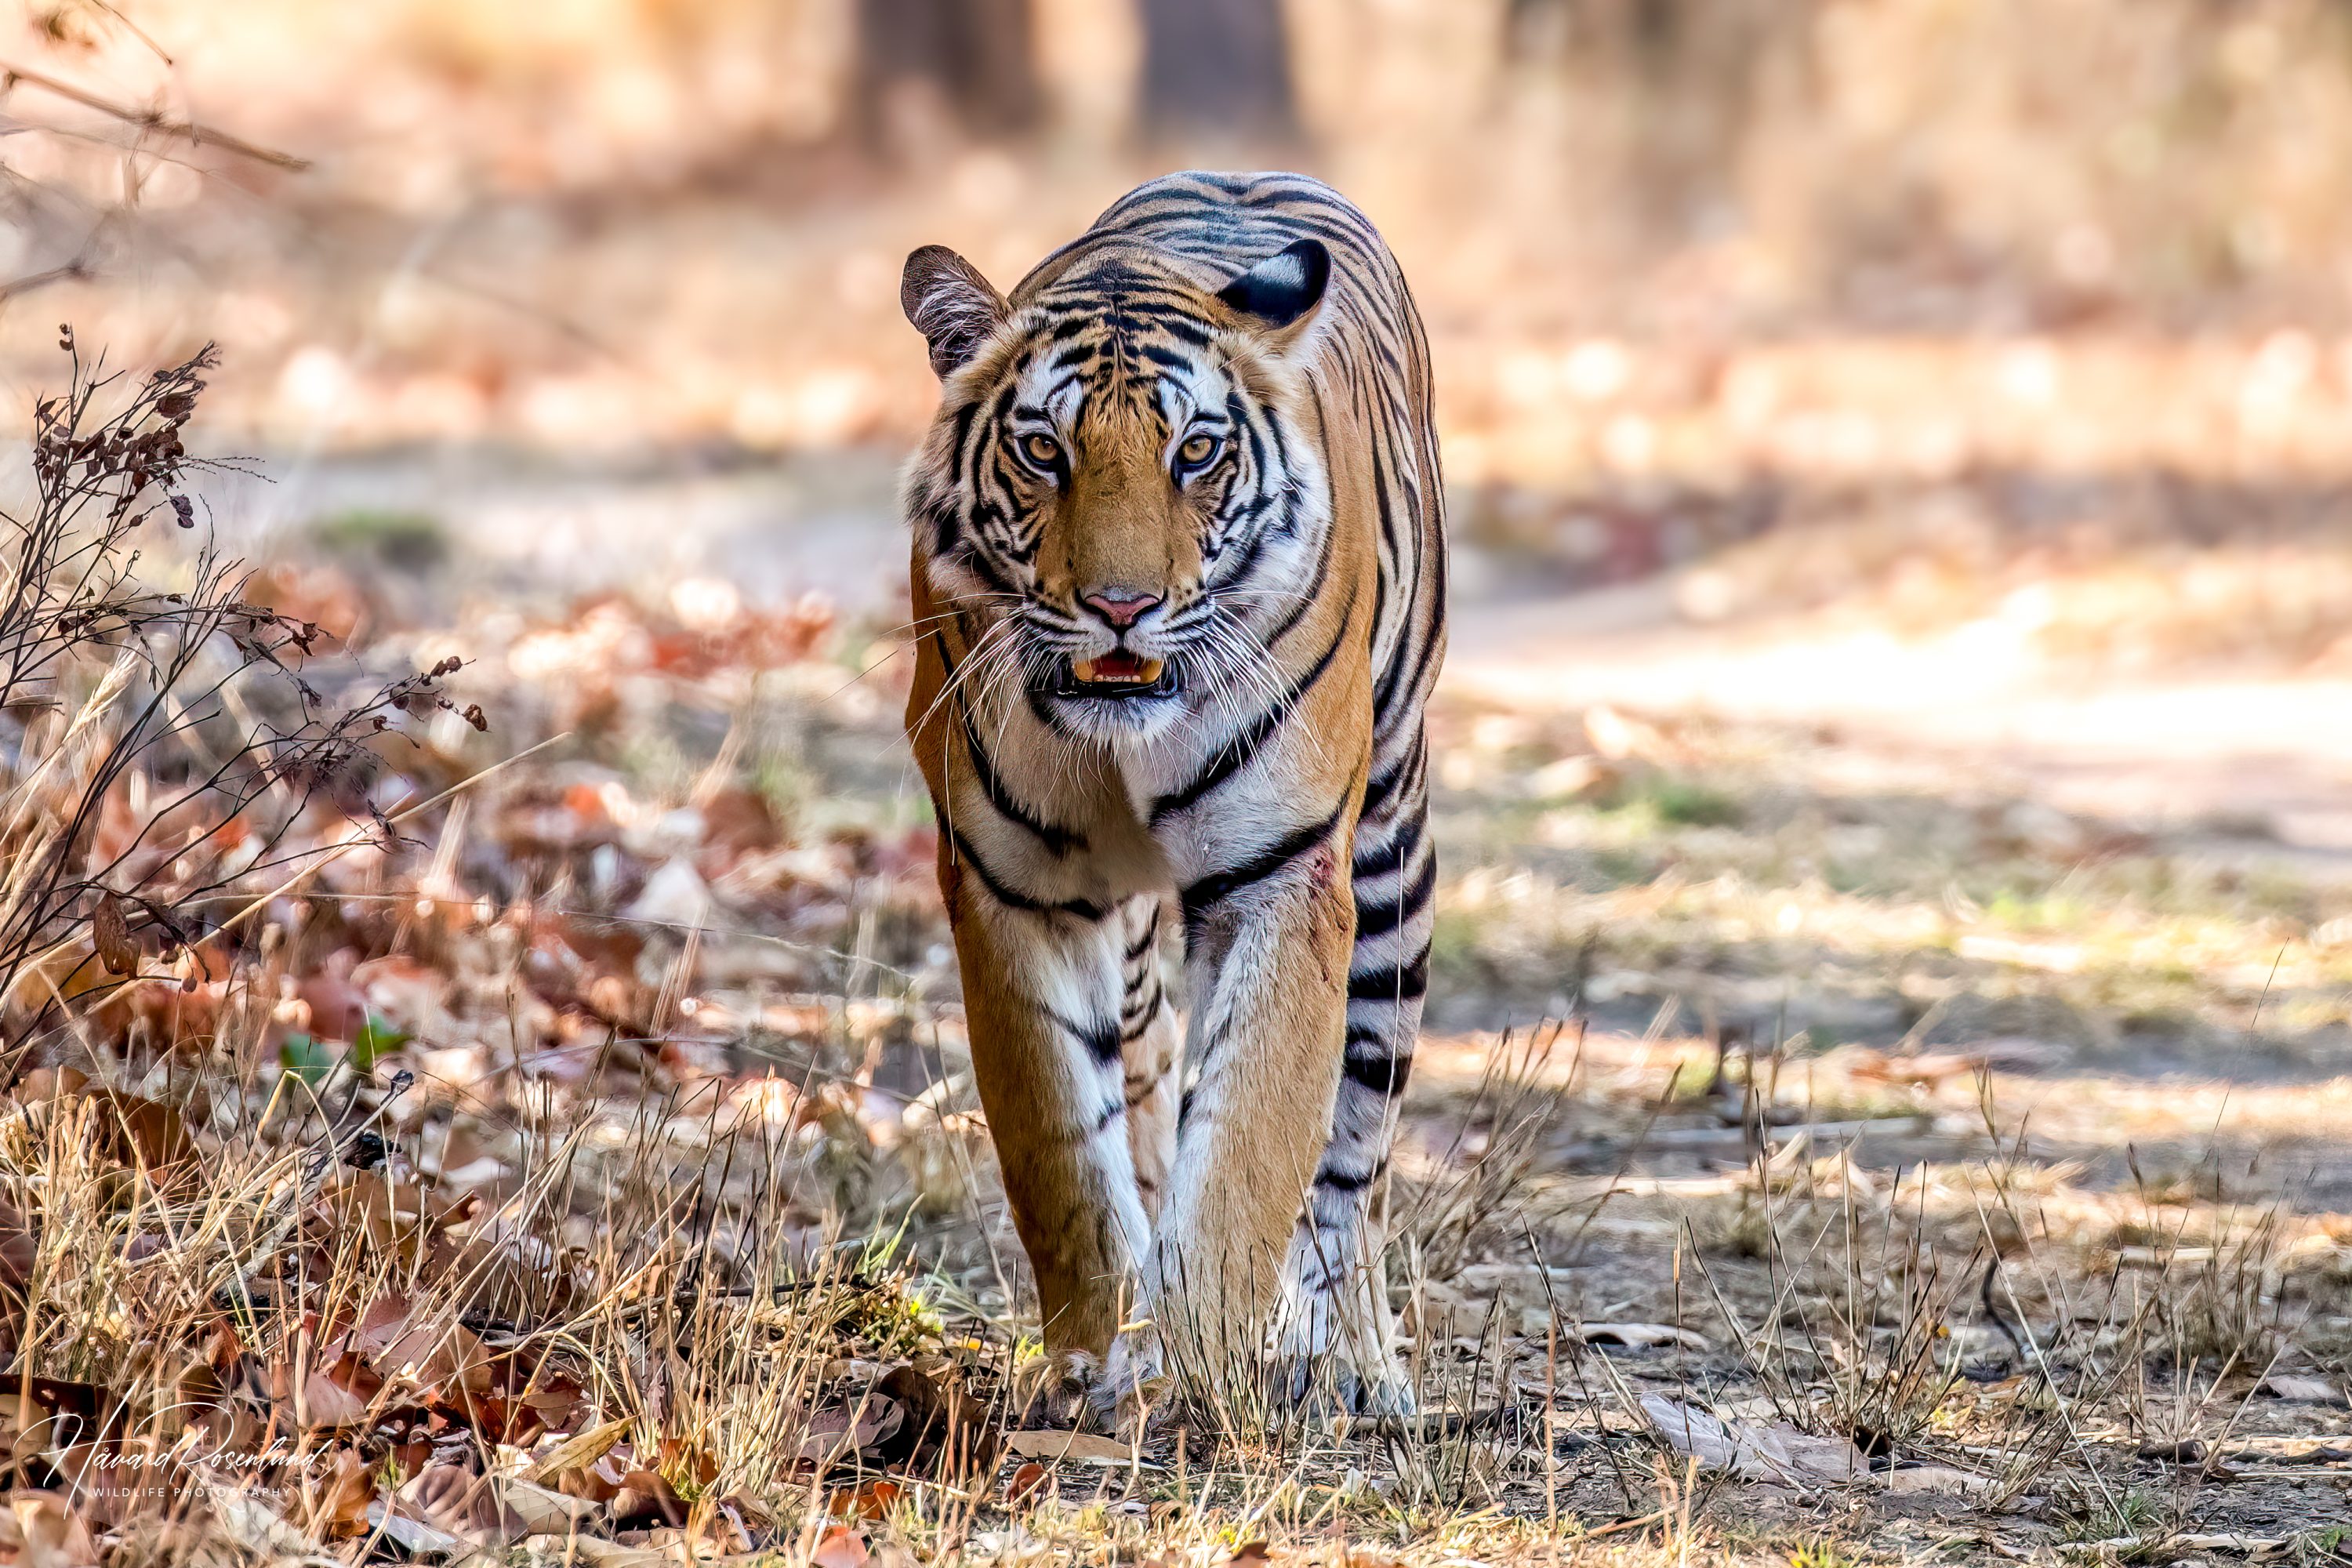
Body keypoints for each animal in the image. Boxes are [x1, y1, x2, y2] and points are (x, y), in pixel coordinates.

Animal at [898, 170, 1445, 1415]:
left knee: (1356, 1151)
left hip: (1392, 858)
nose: (1121, 607)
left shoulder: (1285, 878)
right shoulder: (1013, 888)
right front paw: (1093, 1365)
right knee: (1143, 1094)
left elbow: (1248, 1147)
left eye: (1195, 451)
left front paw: (1212, 1368)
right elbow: (1065, 1151)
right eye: (1041, 449)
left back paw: (1357, 1364)